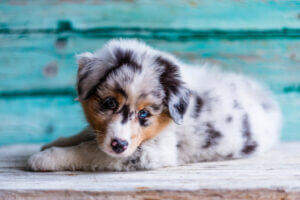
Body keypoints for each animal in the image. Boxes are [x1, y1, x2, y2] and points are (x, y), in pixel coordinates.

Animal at [27, 39, 282, 172]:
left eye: (144, 114)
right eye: (109, 102)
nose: (119, 144)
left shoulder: (150, 153)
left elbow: (90, 151)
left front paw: (45, 158)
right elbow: (87, 136)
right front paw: (56, 142)